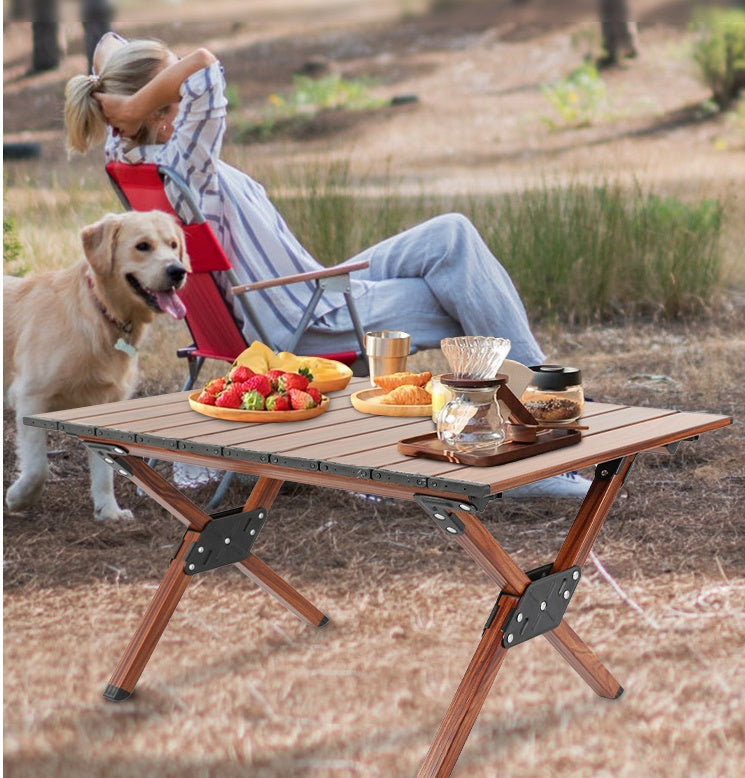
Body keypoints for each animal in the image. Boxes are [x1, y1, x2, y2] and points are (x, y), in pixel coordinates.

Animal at [4, 209, 190, 520]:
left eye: (173, 245)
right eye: (143, 246)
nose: (178, 271)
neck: (100, 314)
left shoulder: (103, 405)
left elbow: (105, 472)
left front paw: (109, 511)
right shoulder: (31, 395)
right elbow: (38, 467)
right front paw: (19, 497)